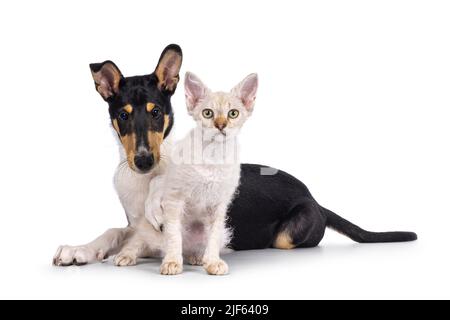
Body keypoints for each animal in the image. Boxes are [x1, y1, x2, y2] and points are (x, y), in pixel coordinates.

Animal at [144, 72, 256, 276]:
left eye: (233, 113)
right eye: (208, 113)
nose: (221, 125)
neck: (213, 157)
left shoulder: (219, 206)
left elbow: (213, 236)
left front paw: (212, 262)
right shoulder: (174, 198)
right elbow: (173, 234)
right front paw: (172, 262)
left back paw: (197, 257)